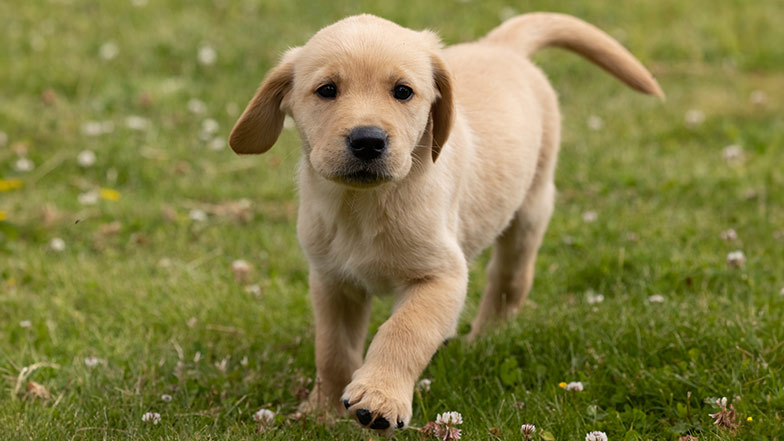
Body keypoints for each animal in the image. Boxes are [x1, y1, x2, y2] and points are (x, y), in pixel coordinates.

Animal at [228, 12, 660, 432]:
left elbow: (404, 331)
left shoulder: (442, 276)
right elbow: (333, 350)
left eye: (403, 91)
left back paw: (483, 339)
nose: (368, 141)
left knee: (510, 280)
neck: (364, 205)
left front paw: (380, 396)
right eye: (327, 90)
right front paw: (321, 410)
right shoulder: (333, 280)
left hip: (530, 209)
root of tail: (499, 46)